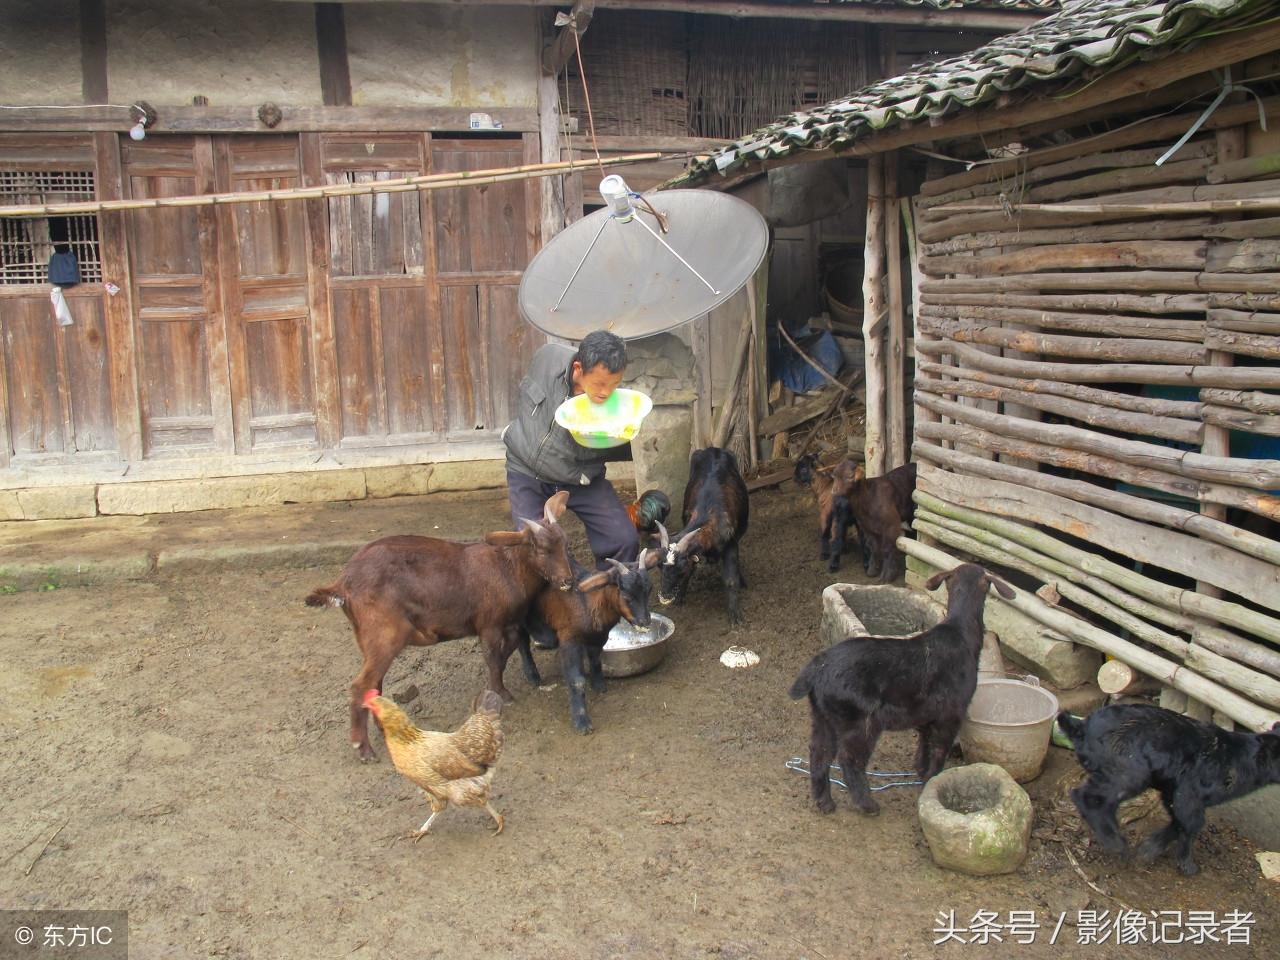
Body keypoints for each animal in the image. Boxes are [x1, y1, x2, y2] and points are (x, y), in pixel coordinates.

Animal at [304, 491, 570, 762]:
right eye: (540, 549)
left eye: (564, 543)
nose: (567, 580)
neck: (507, 567)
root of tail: (342, 583)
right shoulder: (489, 624)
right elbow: (494, 660)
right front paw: (502, 695)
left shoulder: (511, 623)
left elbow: (508, 651)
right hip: (384, 635)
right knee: (360, 686)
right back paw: (364, 749)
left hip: (366, 638)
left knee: (373, 684)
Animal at [660, 450, 747, 627]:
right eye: (661, 566)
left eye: (680, 569)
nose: (664, 595)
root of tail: (714, 449)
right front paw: (680, 598)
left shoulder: (731, 544)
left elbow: (730, 579)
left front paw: (735, 615)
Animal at [788, 563, 1008, 819]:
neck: (960, 633)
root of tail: (817, 668)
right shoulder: (952, 714)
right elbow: (939, 750)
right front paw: (931, 781)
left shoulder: (927, 716)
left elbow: (924, 746)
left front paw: (921, 773)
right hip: (861, 720)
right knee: (849, 759)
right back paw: (868, 805)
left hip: (823, 715)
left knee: (819, 752)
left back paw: (825, 803)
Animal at [1059, 701, 1280, 875]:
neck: (1241, 758)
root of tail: (1080, 726)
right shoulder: (1189, 793)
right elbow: (1191, 824)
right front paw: (1187, 866)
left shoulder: (1172, 792)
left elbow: (1178, 822)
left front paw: (1149, 849)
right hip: (1128, 772)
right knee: (1086, 797)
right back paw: (1116, 843)